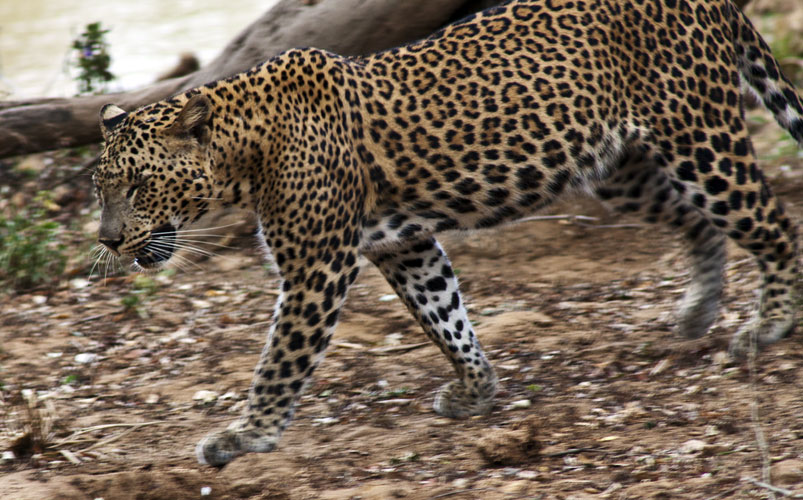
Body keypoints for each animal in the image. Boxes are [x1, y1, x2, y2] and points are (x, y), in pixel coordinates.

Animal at [91, 0, 800, 468]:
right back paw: (699, 309)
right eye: (101, 189)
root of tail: (708, 0)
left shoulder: (317, 266)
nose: (108, 241)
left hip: (700, 139)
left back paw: (769, 325)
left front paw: (245, 436)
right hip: (617, 167)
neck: (242, 155)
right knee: (696, 221)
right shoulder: (400, 244)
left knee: (773, 225)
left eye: (138, 185)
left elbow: (281, 362)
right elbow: (443, 314)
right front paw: (477, 389)